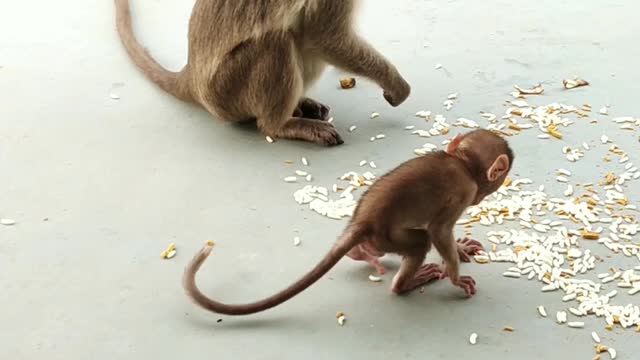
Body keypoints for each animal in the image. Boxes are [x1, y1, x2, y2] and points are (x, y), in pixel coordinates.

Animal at [182, 129, 512, 316]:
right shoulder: (464, 190)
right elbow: (439, 230)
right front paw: (455, 275)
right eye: (488, 188)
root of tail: (361, 222)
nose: (481, 199)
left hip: (377, 239)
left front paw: (462, 248)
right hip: (388, 235)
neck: (462, 163)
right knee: (420, 242)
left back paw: (360, 254)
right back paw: (404, 284)